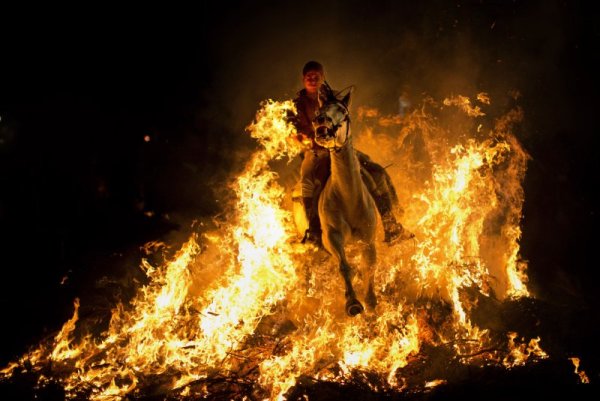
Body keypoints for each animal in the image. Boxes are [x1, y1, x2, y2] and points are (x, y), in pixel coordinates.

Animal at [312, 86, 378, 316]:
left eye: (343, 111)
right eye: (320, 109)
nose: (320, 122)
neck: (349, 199)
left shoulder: (368, 240)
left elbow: (370, 265)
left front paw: (370, 300)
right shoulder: (333, 237)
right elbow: (344, 266)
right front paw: (353, 302)